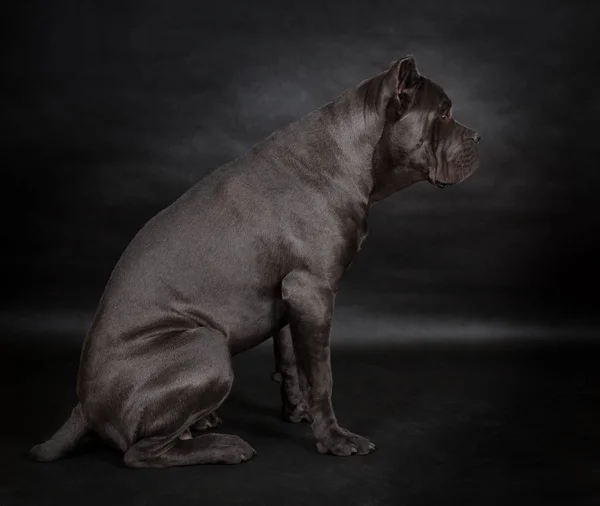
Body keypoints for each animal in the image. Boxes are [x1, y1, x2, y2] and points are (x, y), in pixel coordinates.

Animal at [28, 55, 480, 466]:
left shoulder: (293, 298)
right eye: (443, 114)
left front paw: (299, 412)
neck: (352, 151)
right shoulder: (313, 291)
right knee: (140, 453)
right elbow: (322, 375)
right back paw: (223, 446)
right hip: (206, 343)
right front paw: (334, 438)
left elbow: (291, 362)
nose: (478, 136)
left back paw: (202, 422)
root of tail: (84, 407)